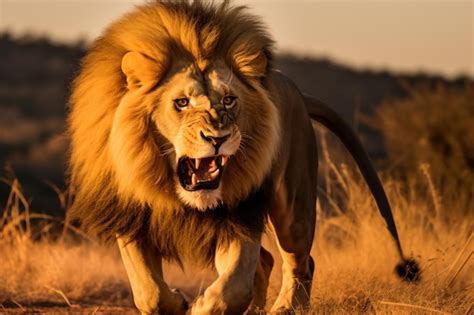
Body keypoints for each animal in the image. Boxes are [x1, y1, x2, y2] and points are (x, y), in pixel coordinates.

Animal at [67, 1, 418, 314]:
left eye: (228, 100)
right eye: (181, 102)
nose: (217, 139)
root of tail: (293, 88)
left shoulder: (242, 212)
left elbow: (233, 288)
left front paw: (201, 306)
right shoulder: (130, 213)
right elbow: (149, 291)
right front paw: (177, 302)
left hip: (294, 207)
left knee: (300, 261)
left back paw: (286, 307)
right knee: (268, 260)